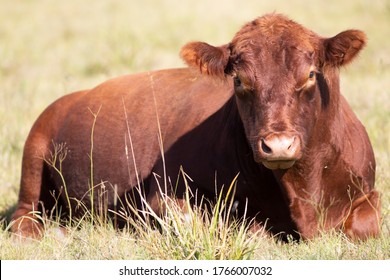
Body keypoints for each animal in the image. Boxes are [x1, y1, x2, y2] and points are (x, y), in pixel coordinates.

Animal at [10, 13, 380, 241]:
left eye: (310, 75)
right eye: (240, 81)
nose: (278, 145)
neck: (303, 192)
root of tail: (69, 98)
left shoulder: (368, 191)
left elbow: (366, 224)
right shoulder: (160, 194)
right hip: (33, 154)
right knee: (23, 216)